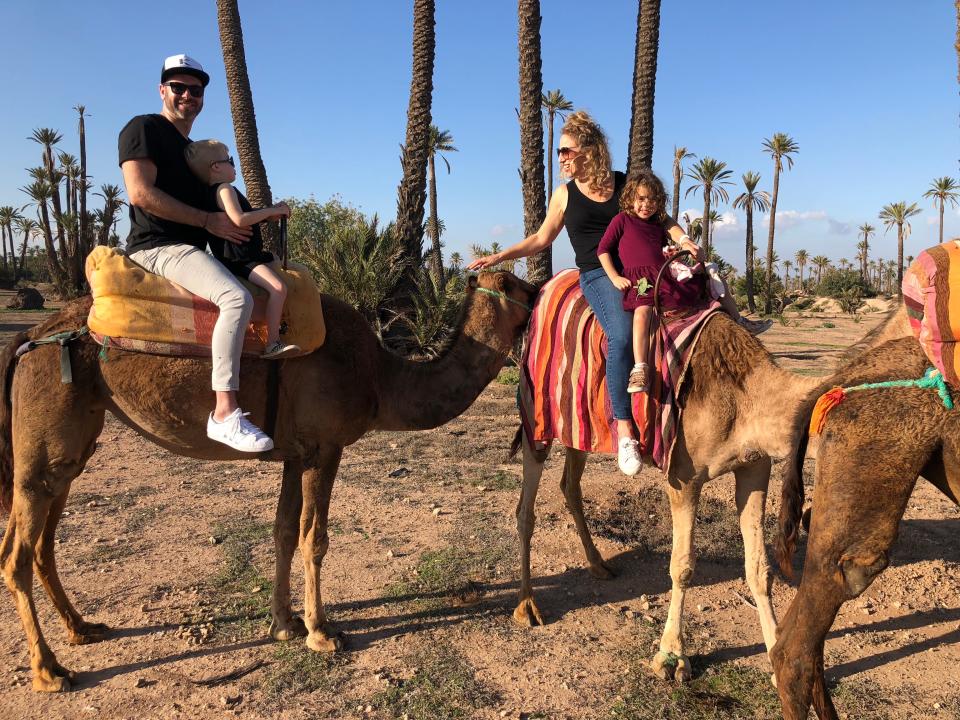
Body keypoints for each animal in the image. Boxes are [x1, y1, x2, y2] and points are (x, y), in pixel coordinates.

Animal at [0, 270, 536, 692]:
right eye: (514, 285)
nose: (541, 286)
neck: (380, 377)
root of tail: (32, 337)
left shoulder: (294, 454)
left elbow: (282, 532)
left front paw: (285, 624)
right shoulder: (325, 447)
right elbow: (314, 537)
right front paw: (322, 633)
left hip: (76, 443)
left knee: (41, 540)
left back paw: (82, 628)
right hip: (48, 431)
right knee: (16, 556)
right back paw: (49, 671)